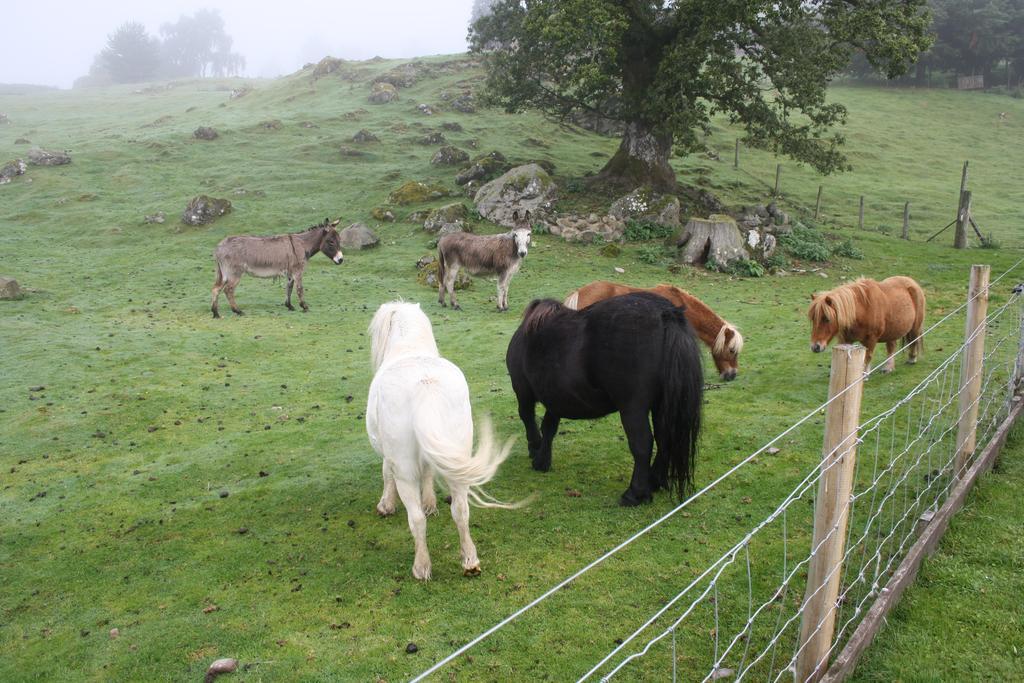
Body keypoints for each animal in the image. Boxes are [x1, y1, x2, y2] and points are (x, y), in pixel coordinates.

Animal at [364, 301, 516, 581]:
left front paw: (386, 505)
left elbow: (386, 473)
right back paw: (470, 560)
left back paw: (421, 566)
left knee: (416, 519)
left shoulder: (390, 457)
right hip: (457, 461)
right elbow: (428, 475)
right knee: (461, 511)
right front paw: (430, 504)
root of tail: (425, 386)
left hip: (405, 468)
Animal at [505, 290, 704, 505]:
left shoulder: (523, 391)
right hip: (661, 405)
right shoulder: (555, 398)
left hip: (632, 408)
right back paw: (654, 481)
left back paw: (635, 493)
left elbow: (529, 419)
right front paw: (542, 459)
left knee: (642, 443)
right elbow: (549, 427)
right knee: (664, 437)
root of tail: (665, 312)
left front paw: (535, 449)